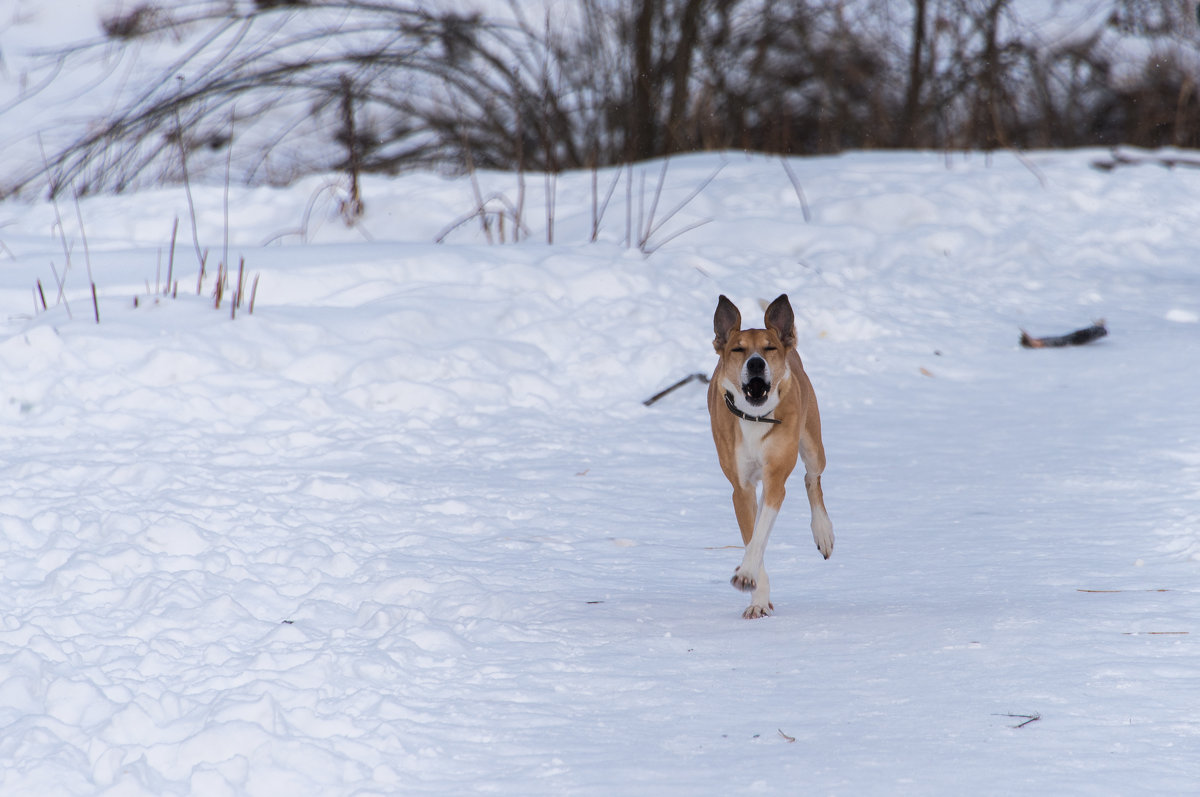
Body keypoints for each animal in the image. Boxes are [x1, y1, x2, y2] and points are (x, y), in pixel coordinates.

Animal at [705, 295, 830, 619]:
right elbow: (753, 537)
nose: (756, 362)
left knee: (812, 477)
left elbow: (759, 534)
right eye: (738, 349)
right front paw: (757, 596)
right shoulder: (741, 488)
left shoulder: (776, 477)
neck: (756, 418)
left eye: (769, 348)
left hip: (812, 443)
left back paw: (823, 532)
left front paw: (746, 576)